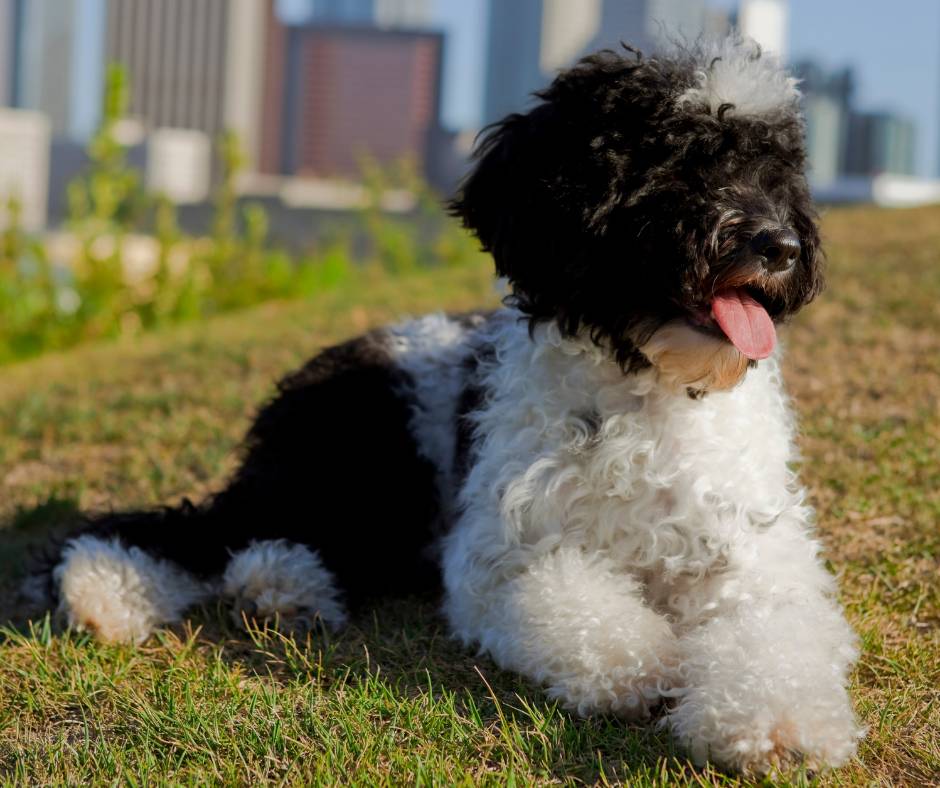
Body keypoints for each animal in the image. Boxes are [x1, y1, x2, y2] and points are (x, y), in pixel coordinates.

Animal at [22, 37, 864, 776]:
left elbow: (774, 632)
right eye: (679, 159)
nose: (781, 246)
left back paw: (280, 589)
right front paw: (643, 658)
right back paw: (117, 588)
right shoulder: (500, 554)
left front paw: (777, 721)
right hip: (362, 460)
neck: (645, 390)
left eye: (776, 170)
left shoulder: (757, 554)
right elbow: (575, 602)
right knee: (209, 530)